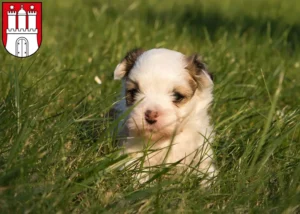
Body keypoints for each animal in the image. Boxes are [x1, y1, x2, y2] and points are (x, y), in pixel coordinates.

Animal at [113, 48, 216, 184]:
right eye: (134, 92)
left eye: (177, 96)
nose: (151, 114)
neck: (163, 140)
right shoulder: (130, 155)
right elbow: (138, 173)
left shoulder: (202, 156)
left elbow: (207, 175)